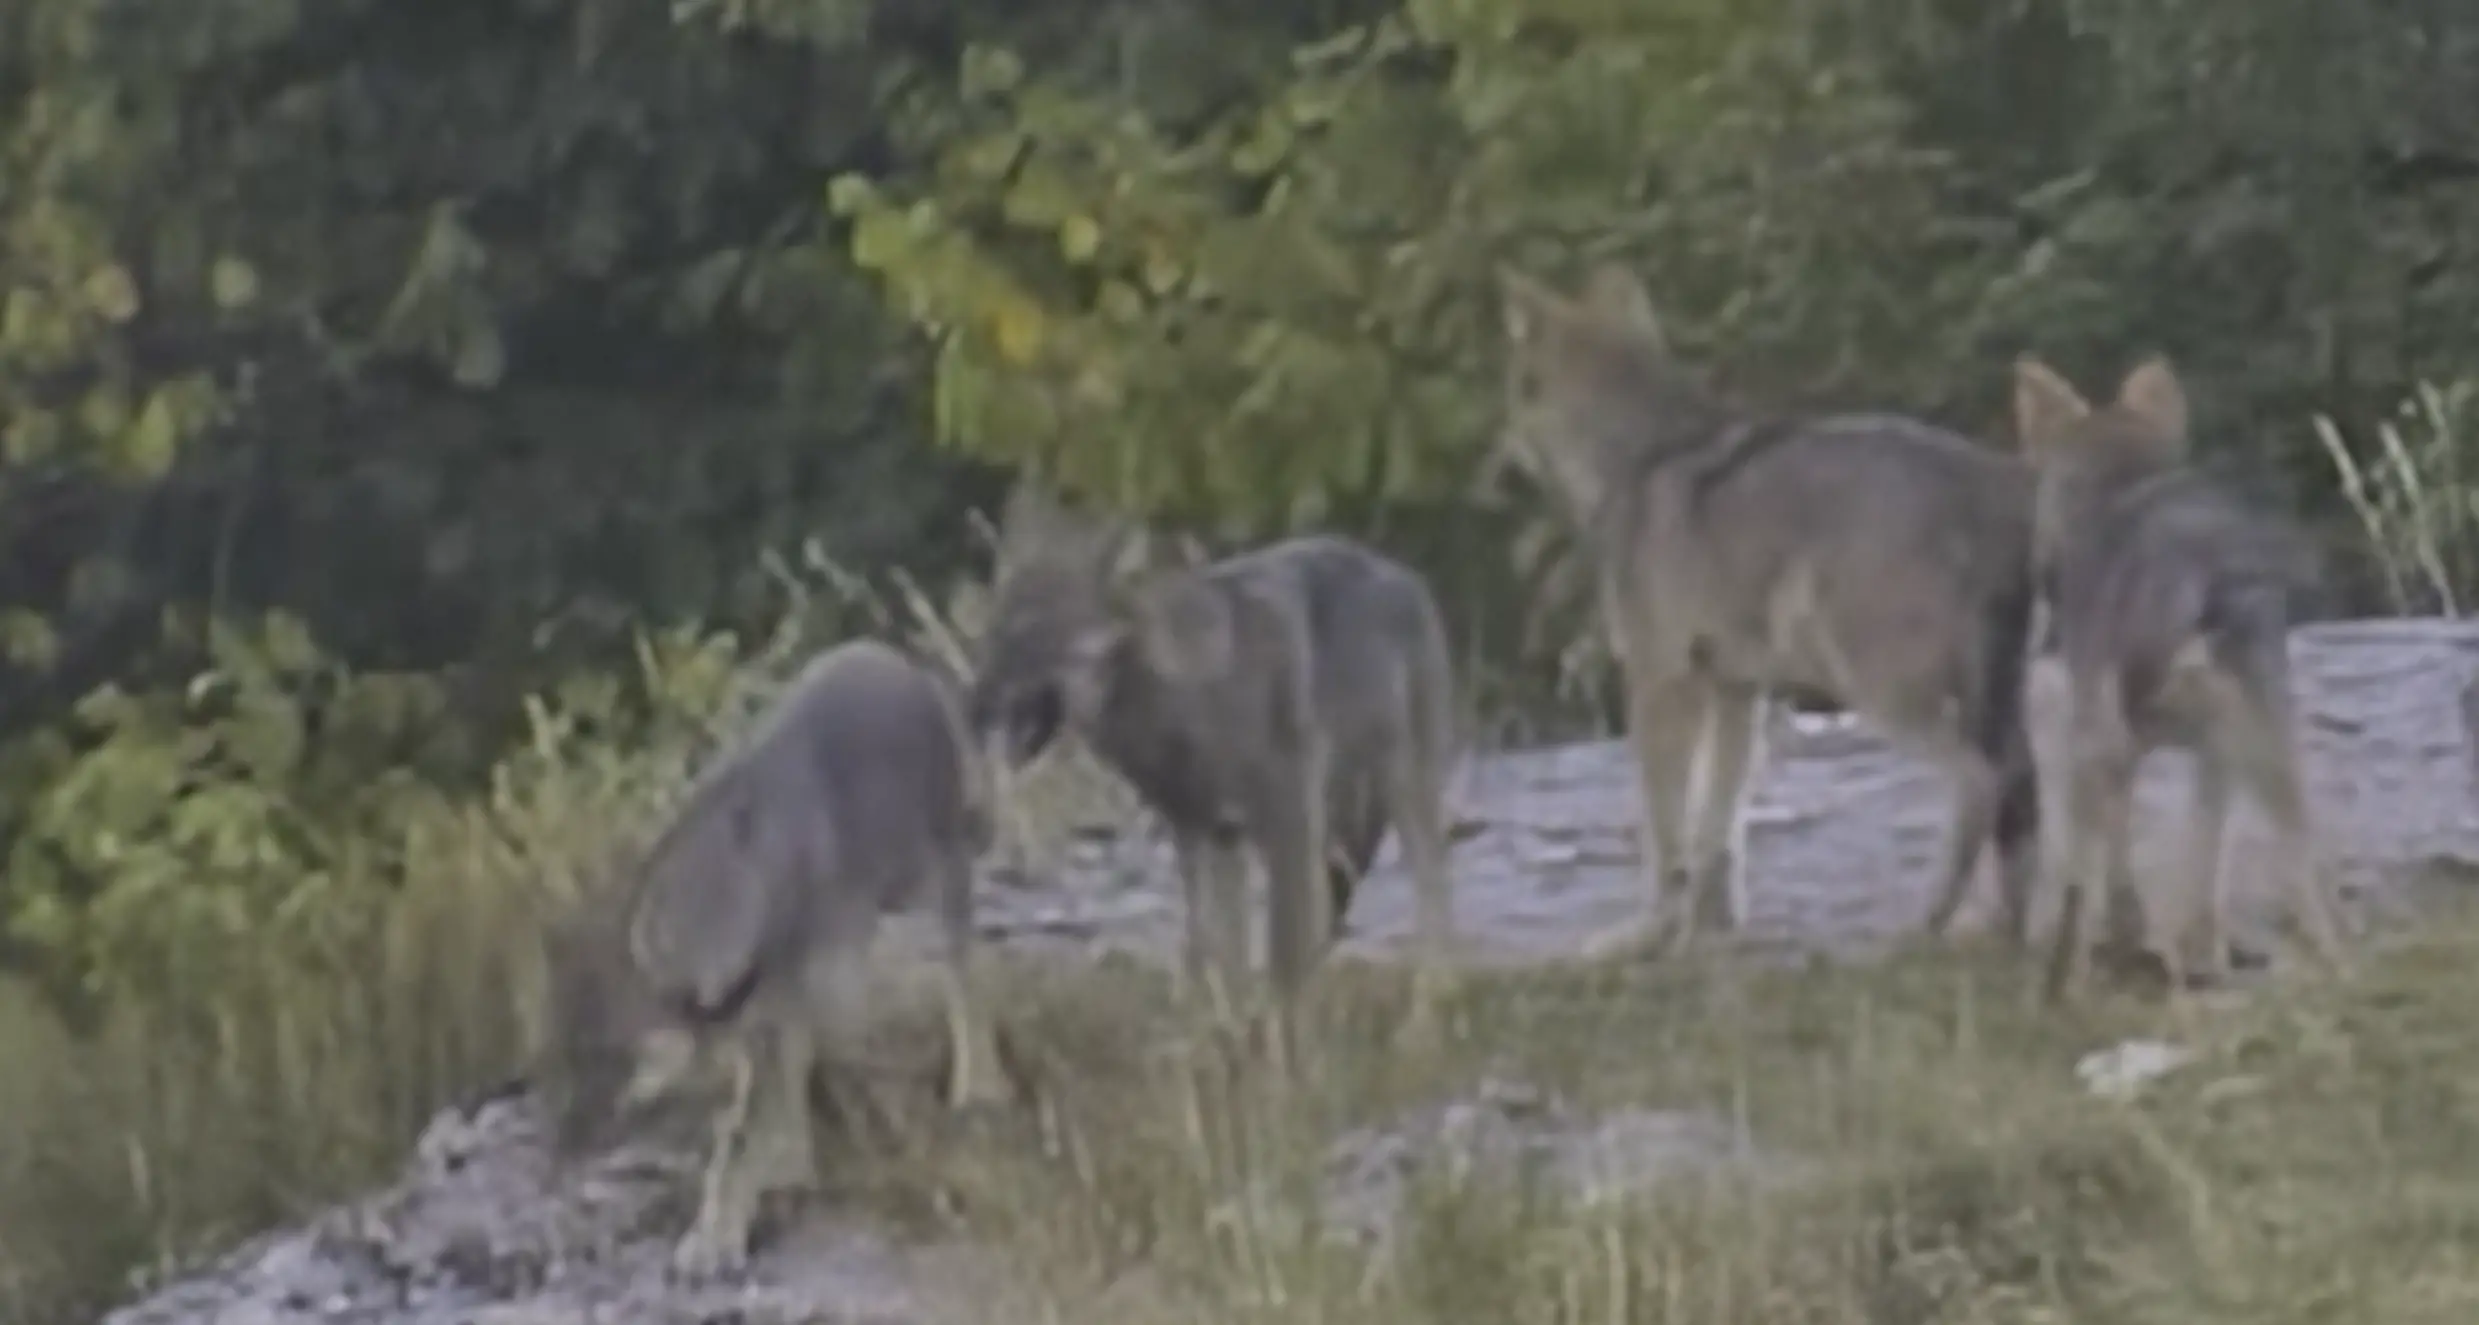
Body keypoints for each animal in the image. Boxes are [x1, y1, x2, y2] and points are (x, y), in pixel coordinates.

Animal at [534, 637, 1008, 1281]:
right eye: (559, 1057)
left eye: (608, 1056)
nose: (559, 1152)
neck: (737, 888)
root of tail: (888, 656)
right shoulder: (769, 1020)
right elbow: (756, 1119)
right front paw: (774, 1183)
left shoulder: (794, 1003)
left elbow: (742, 1136)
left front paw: (718, 1237)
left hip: (935, 885)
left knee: (965, 976)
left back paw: (979, 1087)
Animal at [967, 483, 1464, 1066]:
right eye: (992, 633)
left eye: (1028, 633)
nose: (971, 705)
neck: (1192, 697)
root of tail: (1403, 574)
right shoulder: (1206, 835)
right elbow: (1218, 955)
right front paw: (1230, 1044)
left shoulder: (1284, 825)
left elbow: (1279, 959)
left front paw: (1285, 1064)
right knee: (1328, 921)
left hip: (1402, 795)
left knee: (1432, 907)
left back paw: (1423, 1029)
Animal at [1493, 264, 2044, 956]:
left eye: (1512, 388)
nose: (1497, 469)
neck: (1638, 456)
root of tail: (1994, 477)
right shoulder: (1737, 691)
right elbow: (1717, 832)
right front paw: (1711, 933)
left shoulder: (1660, 686)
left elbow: (1665, 834)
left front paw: (1647, 936)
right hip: (1984, 703)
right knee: (2020, 796)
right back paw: (2006, 931)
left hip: (1878, 688)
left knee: (1980, 782)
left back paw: (1923, 925)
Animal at [2010, 355, 2347, 1000]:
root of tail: (2213, 570)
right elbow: (2183, 848)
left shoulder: (2094, 733)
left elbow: (2093, 863)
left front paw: (2093, 956)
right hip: (2264, 713)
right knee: (2288, 834)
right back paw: (2323, 955)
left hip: (2165, 716)